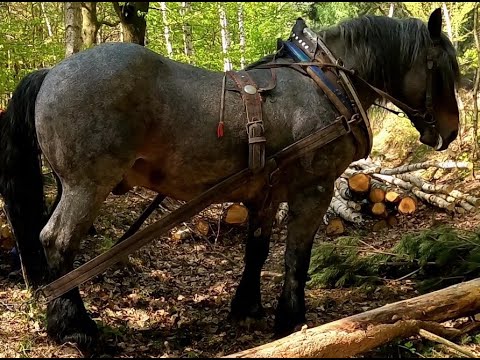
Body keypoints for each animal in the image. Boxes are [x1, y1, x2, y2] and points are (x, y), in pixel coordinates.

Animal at [0, 9, 460, 352]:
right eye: (441, 69)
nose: (451, 132)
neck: (325, 83)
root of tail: (50, 72)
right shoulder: (313, 189)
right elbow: (296, 257)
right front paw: (291, 319)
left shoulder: (266, 192)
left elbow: (257, 250)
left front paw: (247, 307)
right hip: (87, 186)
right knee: (57, 242)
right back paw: (75, 327)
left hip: (69, 185)